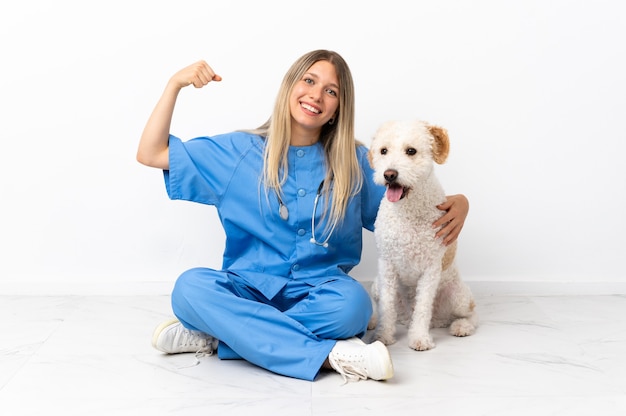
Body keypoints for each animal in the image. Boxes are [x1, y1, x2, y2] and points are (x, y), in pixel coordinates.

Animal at [364, 120, 476, 352]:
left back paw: (461, 326)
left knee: (472, 314)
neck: (408, 210)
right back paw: (373, 320)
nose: (389, 174)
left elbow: (423, 307)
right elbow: (387, 307)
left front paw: (419, 339)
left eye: (411, 151)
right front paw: (383, 336)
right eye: (383, 150)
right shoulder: (387, 267)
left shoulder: (430, 269)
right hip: (377, 285)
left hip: (459, 296)